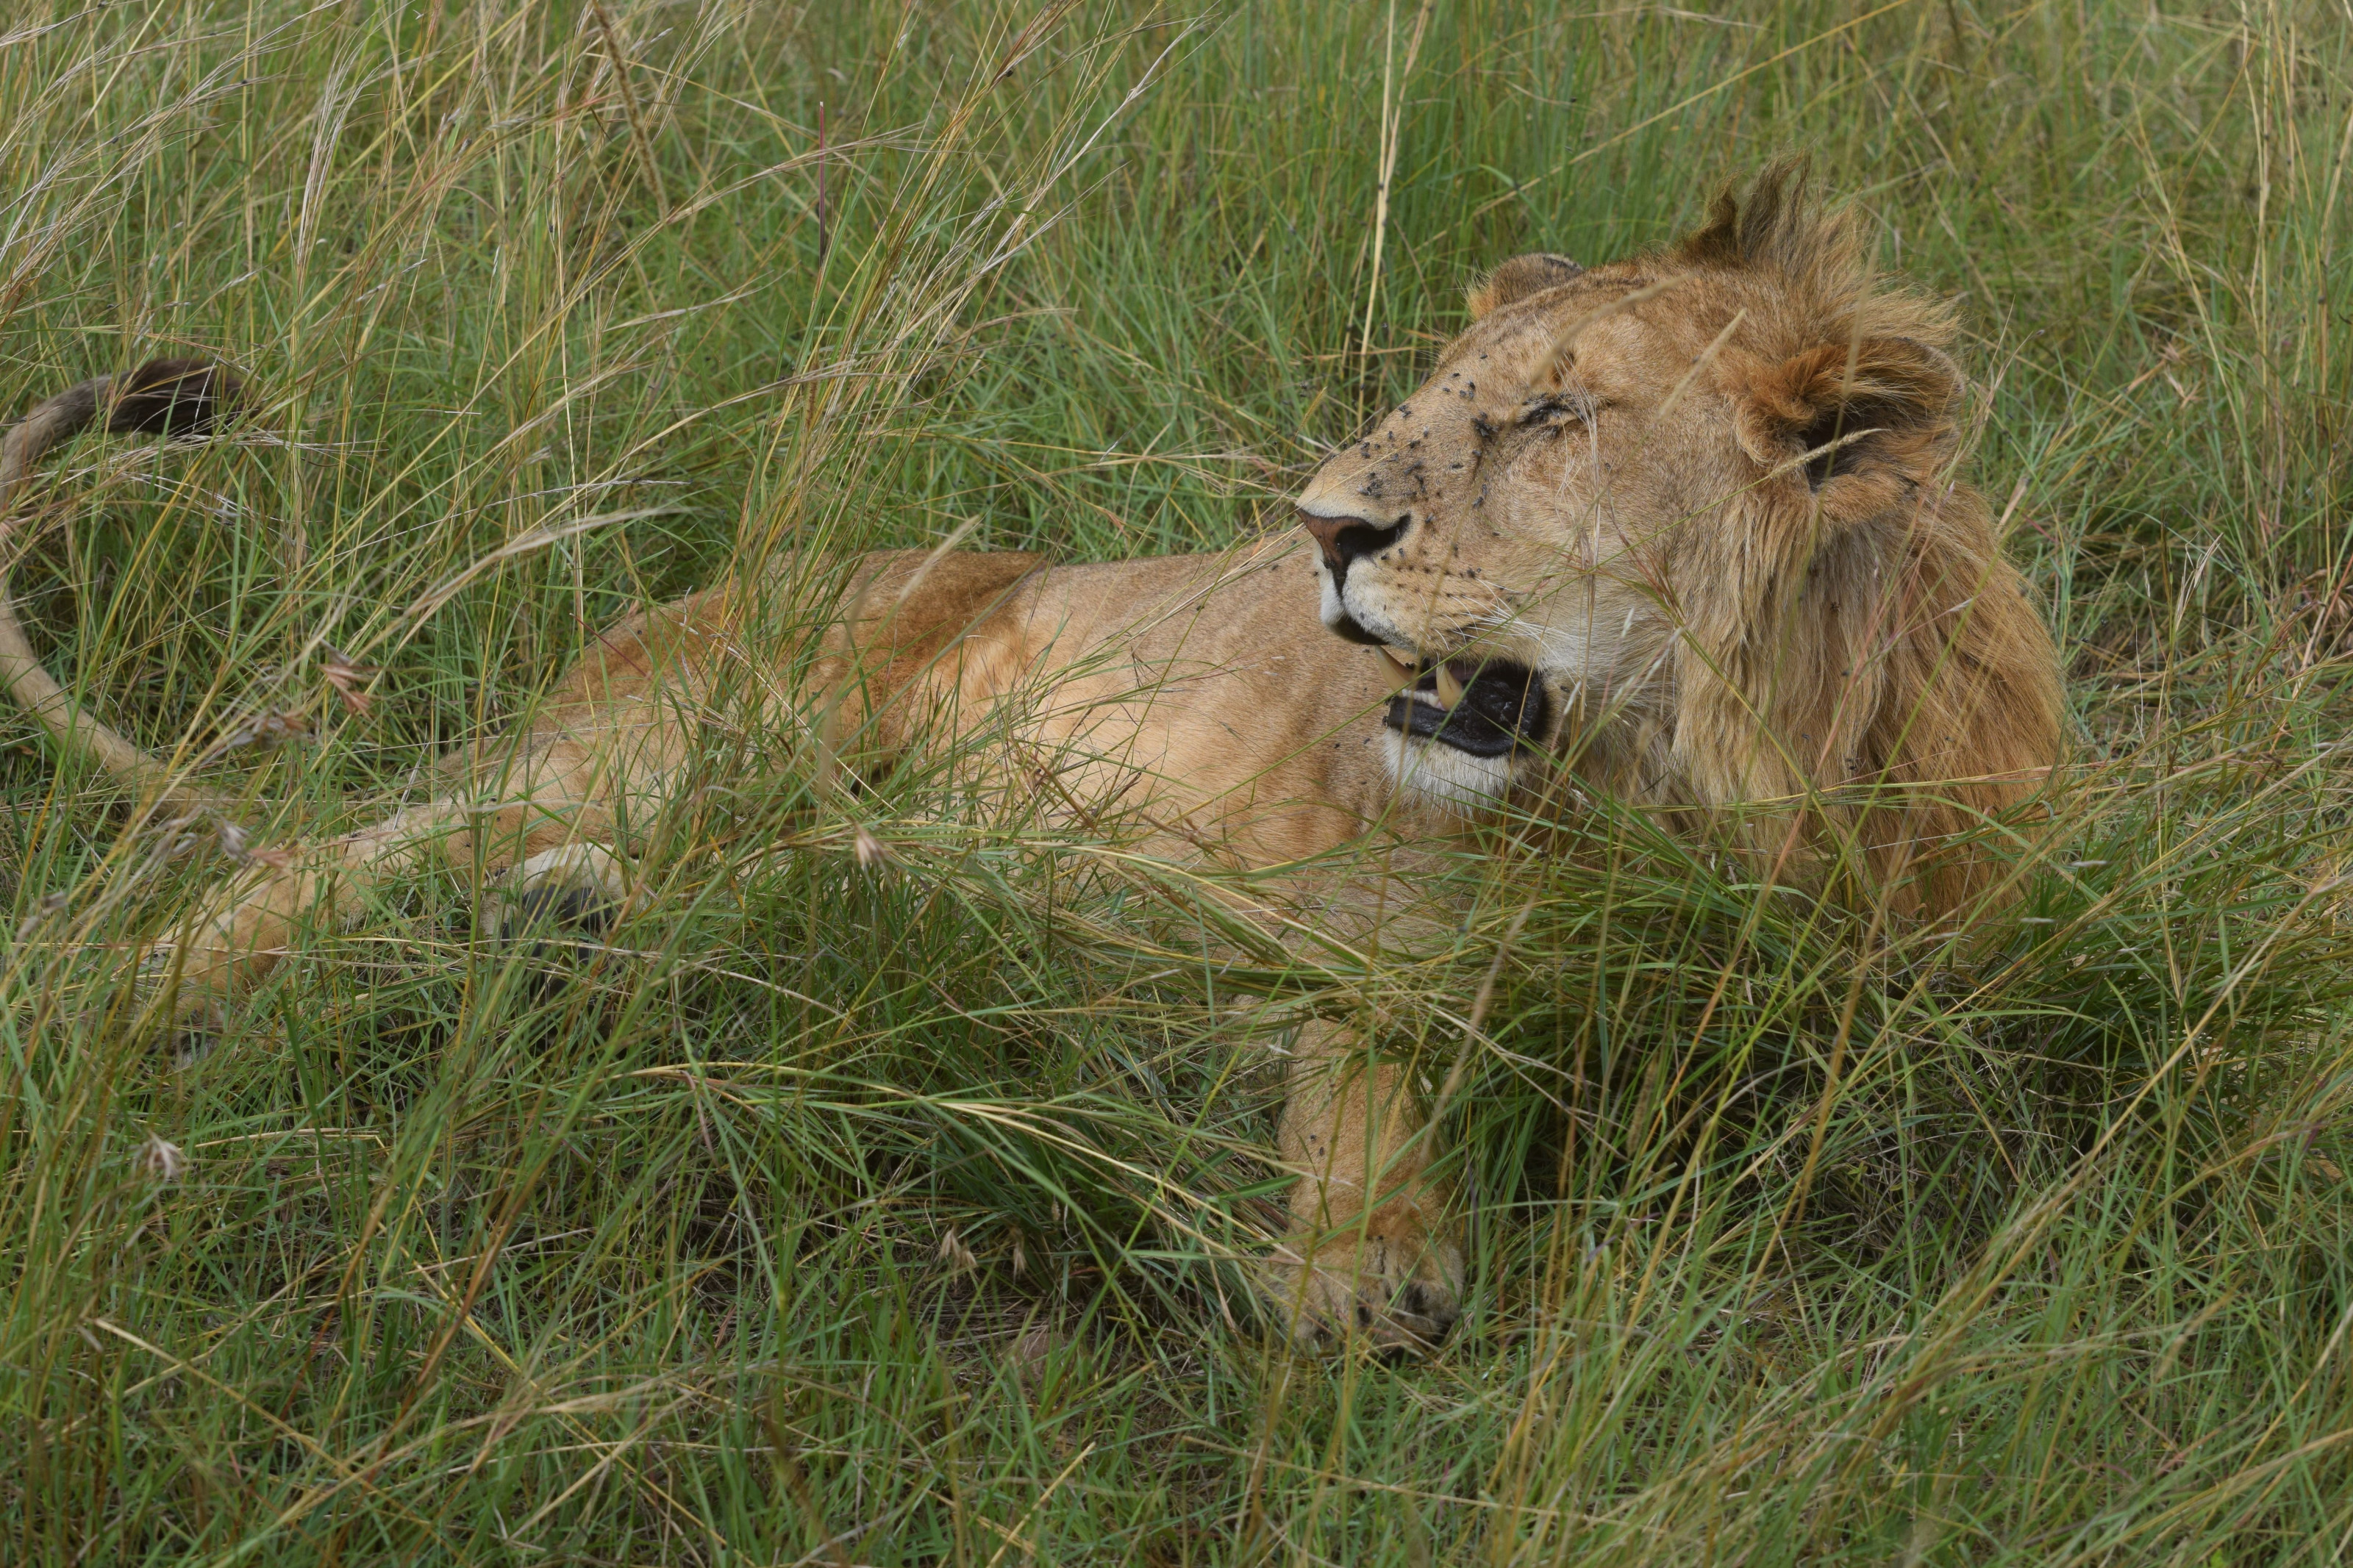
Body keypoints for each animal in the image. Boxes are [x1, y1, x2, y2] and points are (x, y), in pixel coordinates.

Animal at [0, 164, 2062, 1351]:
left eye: (1555, 418)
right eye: (1432, 402)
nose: (1319, 528)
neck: (1704, 789)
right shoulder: (1378, 929)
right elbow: (1368, 1051)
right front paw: (1363, 1255)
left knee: (724, 901)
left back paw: (577, 932)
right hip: (706, 729)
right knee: (309, 864)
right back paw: (112, 1002)